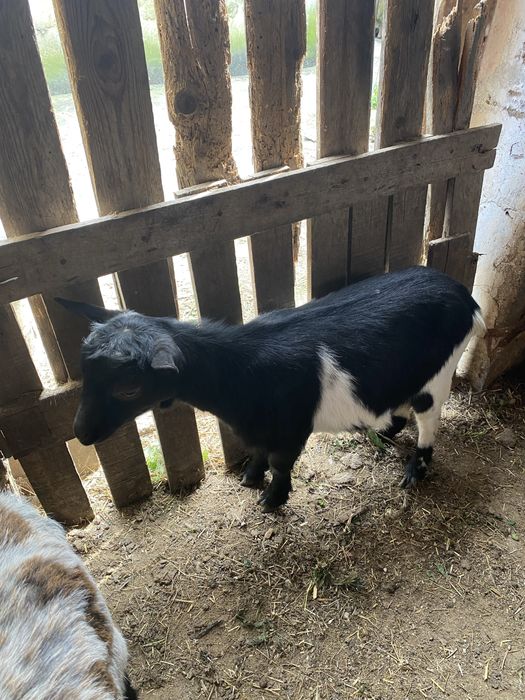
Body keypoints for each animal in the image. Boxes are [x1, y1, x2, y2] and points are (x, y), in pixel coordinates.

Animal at [58, 266, 484, 512]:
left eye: (129, 389)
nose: (81, 433)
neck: (242, 373)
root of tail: (468, 299)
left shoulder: (292, 427)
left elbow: (280, 463)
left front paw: (271, 498)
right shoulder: (259, 426)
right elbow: (257, 450)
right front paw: (249, 477)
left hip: (437, 377)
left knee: (428, 421)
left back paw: (415, 470)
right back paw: (384, 432)